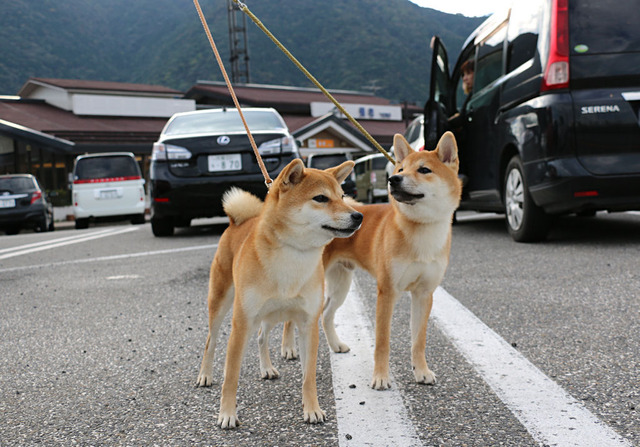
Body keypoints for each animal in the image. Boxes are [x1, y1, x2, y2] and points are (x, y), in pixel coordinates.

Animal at [195, 159, 362, 428]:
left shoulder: (308, 323)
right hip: (221, 303)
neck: (293, 253)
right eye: (321, 198)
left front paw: (312, 409)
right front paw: (227, 414)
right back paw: (205, 375)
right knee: (211, 341)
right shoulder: (241, 324)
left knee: (262, 337)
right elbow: (231, 377)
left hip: (271, 315)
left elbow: (308, 377)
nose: (359, 216)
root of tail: (236, 222)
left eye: (342, 196)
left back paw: (267, 368)